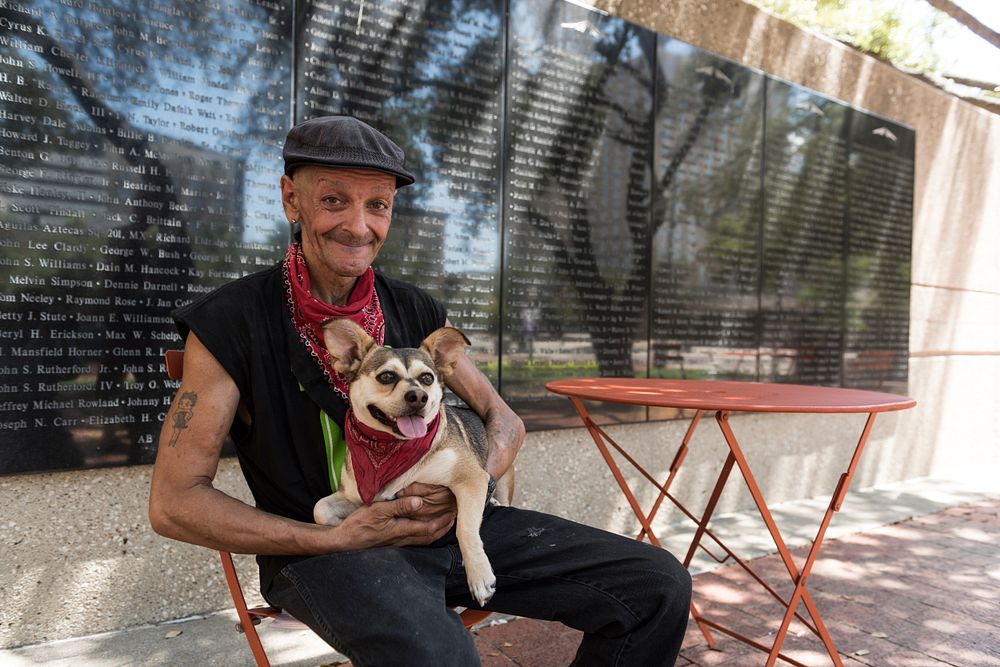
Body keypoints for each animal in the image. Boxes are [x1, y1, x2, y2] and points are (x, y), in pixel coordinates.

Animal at [312, 320, 516, 608]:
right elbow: (320, 509)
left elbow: (465, 527)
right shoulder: (351, 495)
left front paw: (478, 574)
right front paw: (343, 523)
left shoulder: (471, 478)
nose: (419, 396)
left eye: (427, 378)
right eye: (386, 377)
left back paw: (495, 501)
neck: (393, 448)